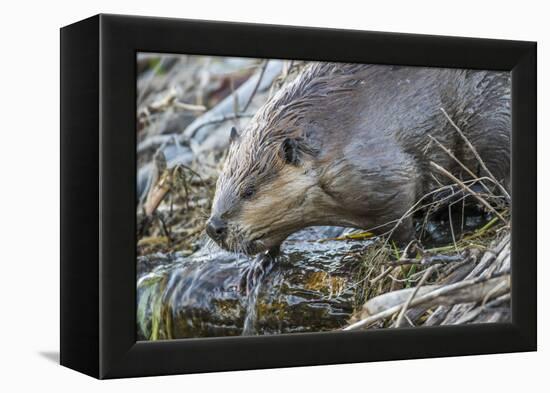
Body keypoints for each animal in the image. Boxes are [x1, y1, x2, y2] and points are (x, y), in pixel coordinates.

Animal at [207, 61, 512, 256]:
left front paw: (412, 250)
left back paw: (446, 198)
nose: (214, 227)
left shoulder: (376, 169)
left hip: (490, 119)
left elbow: (400, 212)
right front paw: (260, 266)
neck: (330, 138)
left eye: (249, 191)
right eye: (219, 184)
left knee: (495, 179)